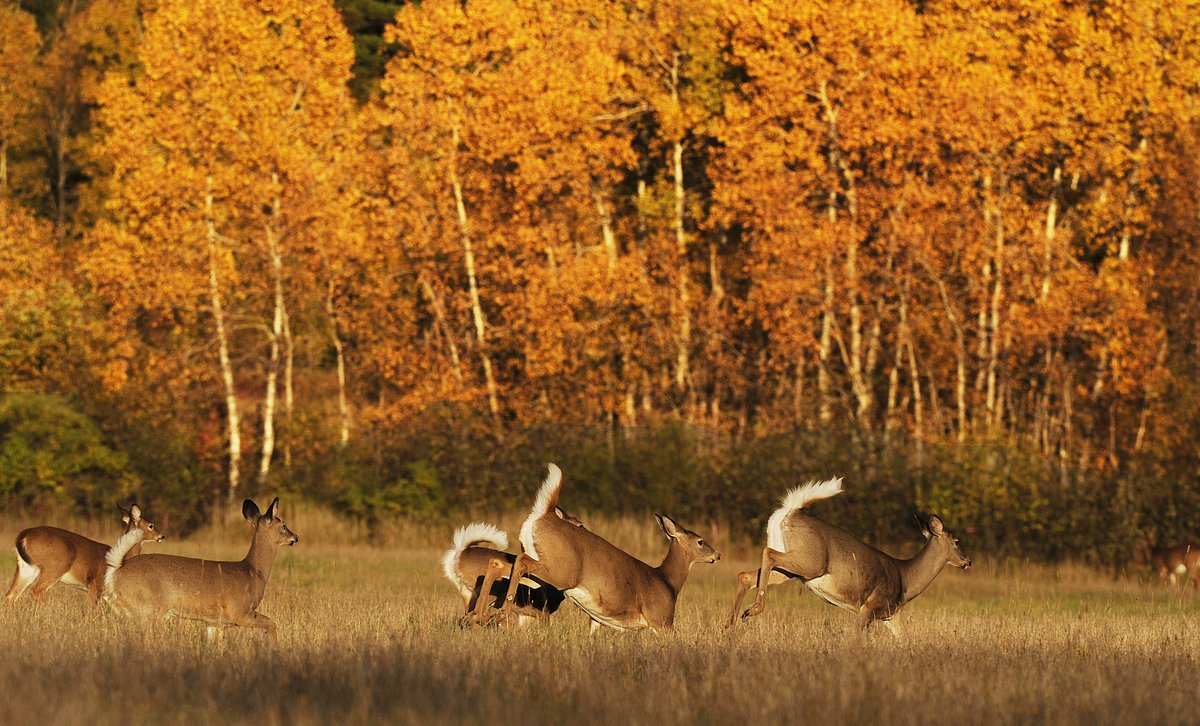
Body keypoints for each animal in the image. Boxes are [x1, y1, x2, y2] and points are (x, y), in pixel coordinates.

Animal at [5, 504, 165, 606]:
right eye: (151, 525)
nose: (161, 536)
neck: (123, 557)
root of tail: (23, 536)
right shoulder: (95, 583)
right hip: (55, 567)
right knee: (35, 591)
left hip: (26, 568)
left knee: (10, 595)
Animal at [104, 497, 298, 642]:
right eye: (283, 524)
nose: (295, 537)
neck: (253, 571)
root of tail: (117, 571)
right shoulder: (240, 612)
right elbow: (272, 623)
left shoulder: (214, 623)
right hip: (148, 610)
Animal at [489, 464, 721, 633]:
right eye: (700, 541)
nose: (717, 555)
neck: (668, 582)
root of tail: (545, 514)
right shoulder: (662, 619)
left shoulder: (597, 619)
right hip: (563, 572)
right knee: (519, 563)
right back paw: (500, 612)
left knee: (507, 563)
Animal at [728, 477, 971, 633]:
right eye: (957, 542)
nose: (968, 561)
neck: (906, 580)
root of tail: (792, 510)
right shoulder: (869, 608)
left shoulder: (890, 616)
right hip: (811, 562)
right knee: (768, 553)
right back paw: (753, 609)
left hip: (793, 569)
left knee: (746, 574)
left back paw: (731, 623)